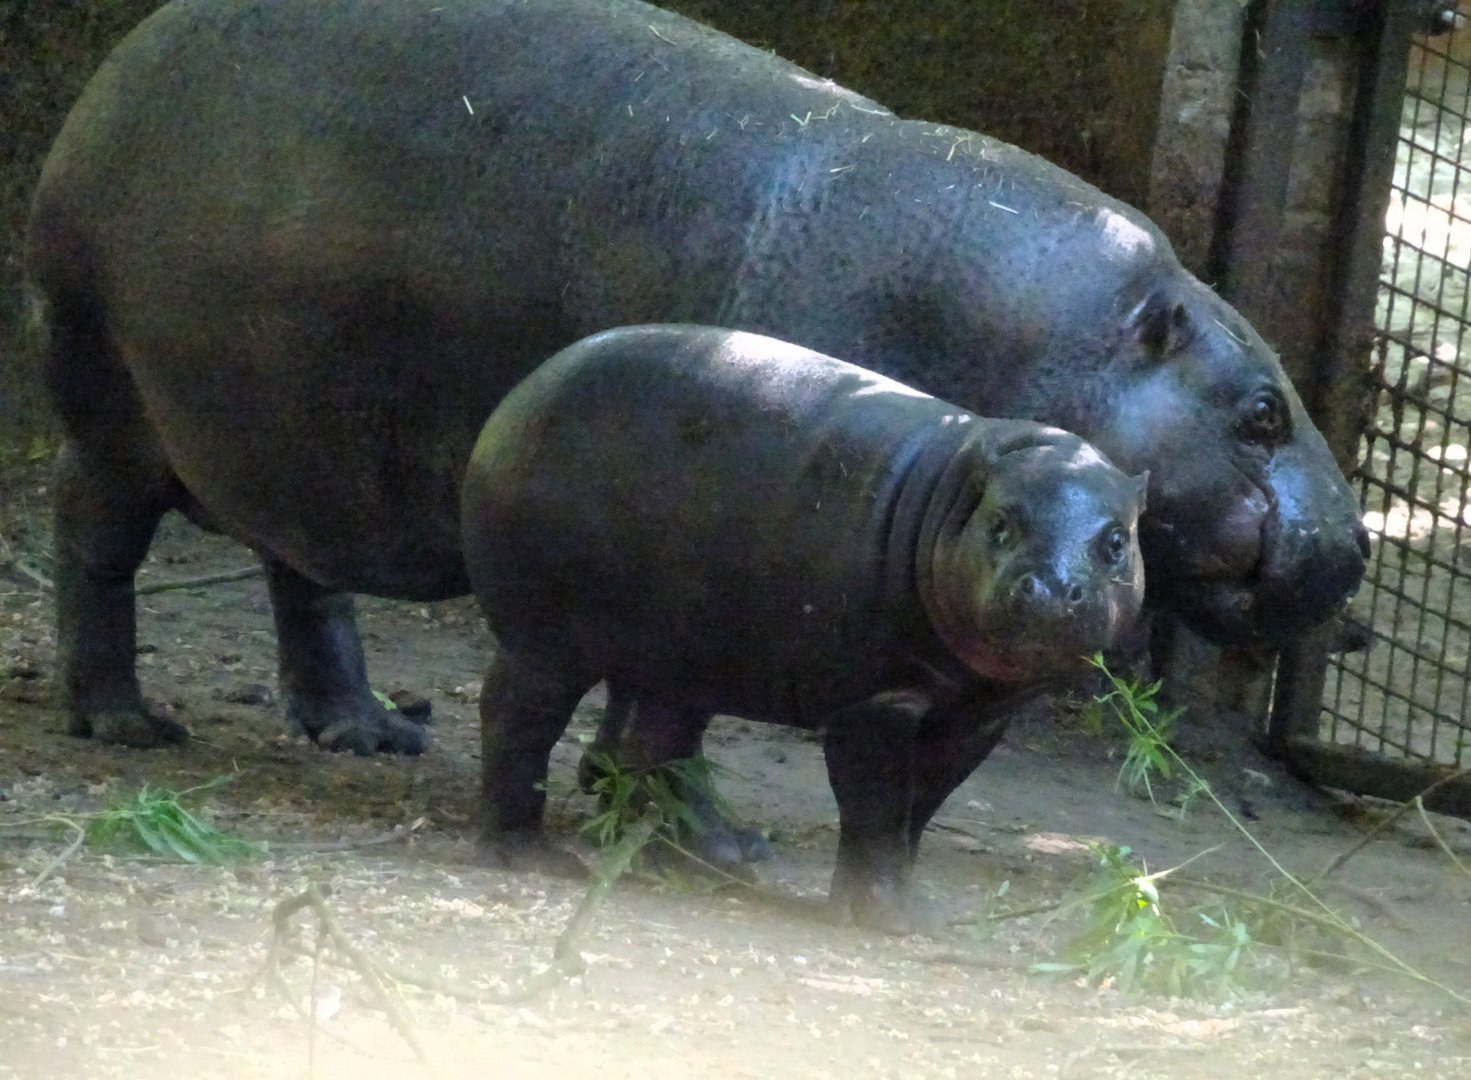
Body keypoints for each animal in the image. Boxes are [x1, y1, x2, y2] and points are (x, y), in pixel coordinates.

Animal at [25, 0, 1365, 771]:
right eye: (1261, 410)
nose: (1354, 549)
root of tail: (123, 59)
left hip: (285, 431)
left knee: (304, 575)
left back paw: (370, 734)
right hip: (108, 402)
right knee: (93, 544)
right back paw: (123, 722)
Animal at [463, 326, 1147, 932]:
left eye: (1116, 541)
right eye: (1001, 523)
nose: (1051, 590)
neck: (955, 498)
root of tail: (529, 387)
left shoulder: (976, 720)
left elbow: (919, 810)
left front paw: (913, 912)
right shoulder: (877, 704)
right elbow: (876, 806)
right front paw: (887, 920)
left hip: (683, 652)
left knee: (657, 744)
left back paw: (717, 862)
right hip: (547, 639)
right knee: (517, 716)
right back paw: (533, 857)